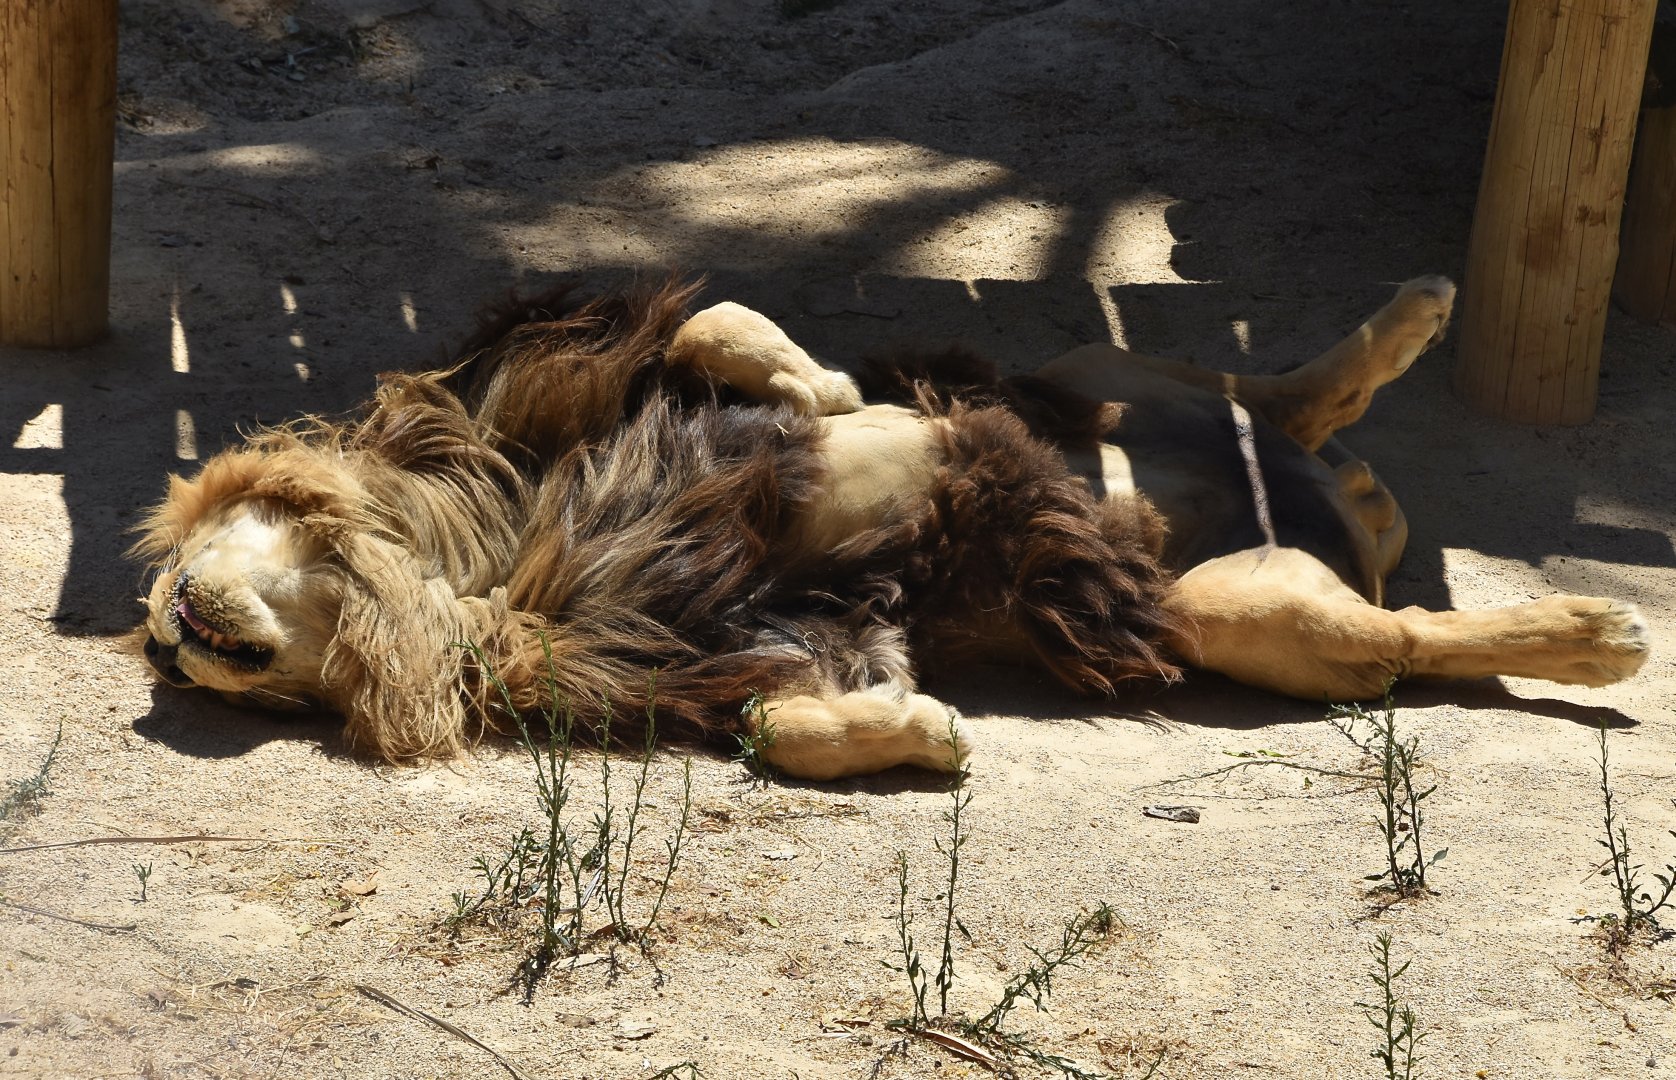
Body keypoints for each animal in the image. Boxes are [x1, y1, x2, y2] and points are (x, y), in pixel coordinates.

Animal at [132, 276, 1650, 779]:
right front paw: (917, 736)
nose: (162, 634)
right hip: (1233, 606)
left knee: (1256, 396)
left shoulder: (553, 393)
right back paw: (1585, 624)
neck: (463, 563)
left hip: (1093, 378)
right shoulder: (740, 640)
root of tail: (1342, 509)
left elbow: (723, 336)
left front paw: (816, 390)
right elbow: (777, 719)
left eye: (173, 580)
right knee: (1401, 623)